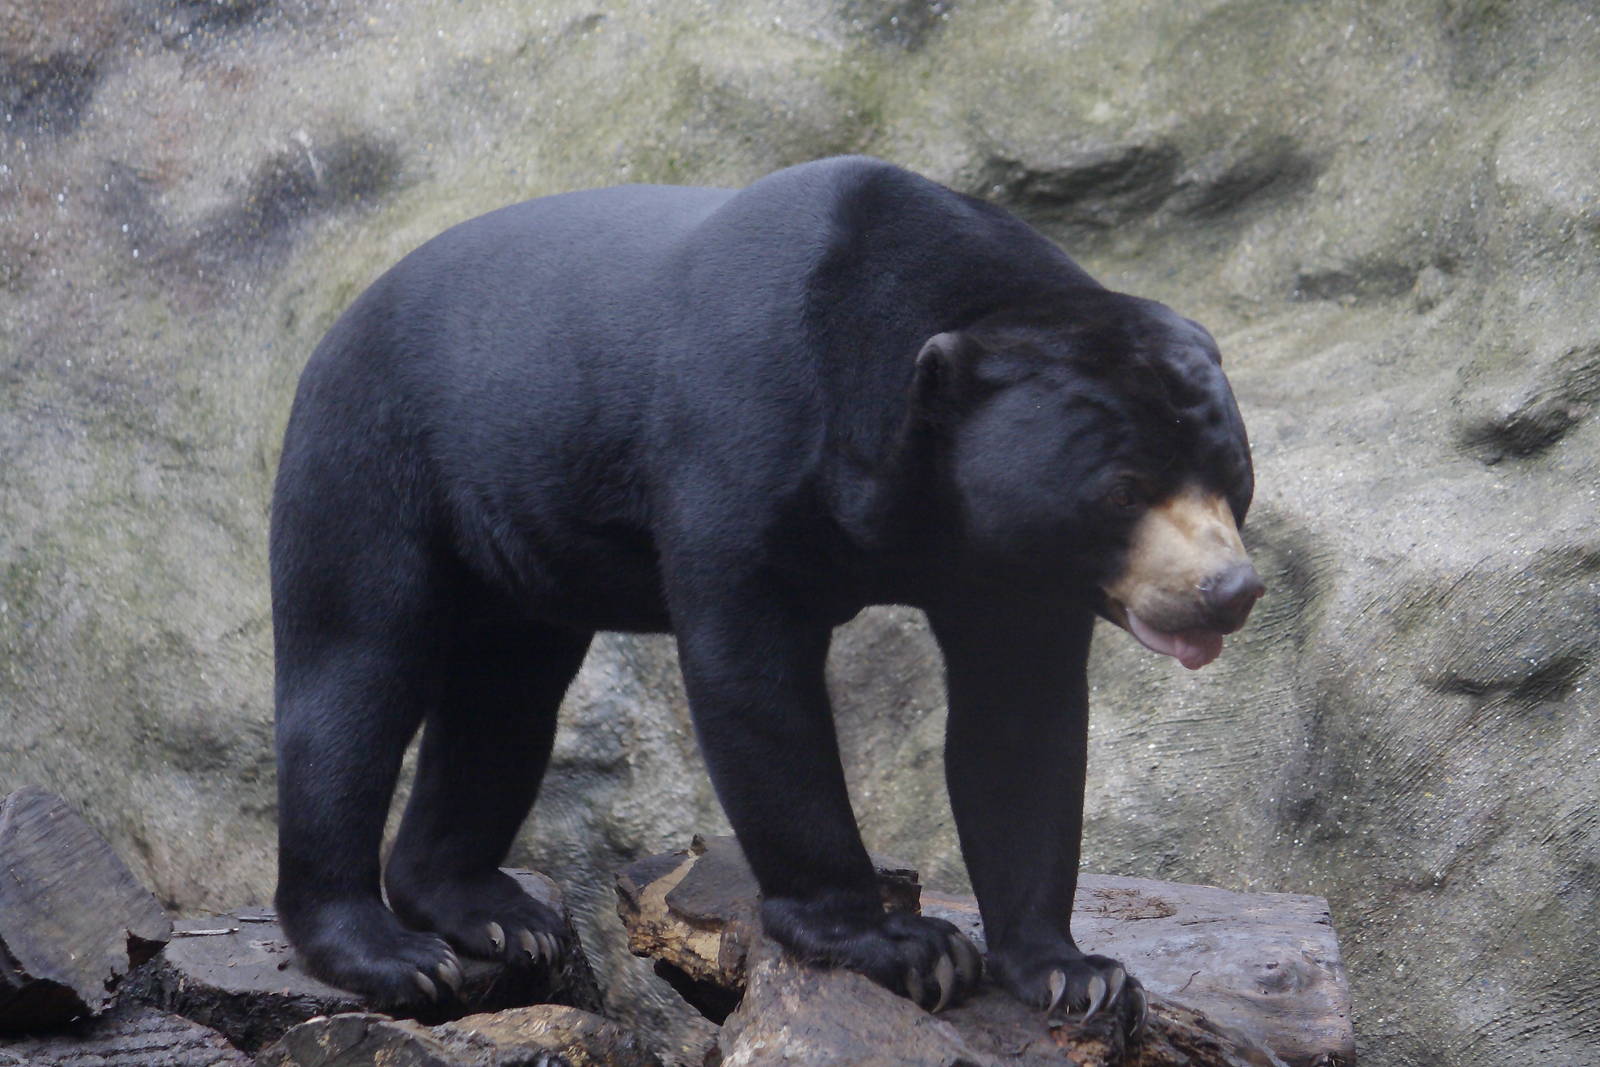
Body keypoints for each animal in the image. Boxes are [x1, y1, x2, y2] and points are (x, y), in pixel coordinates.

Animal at [270, 155, 1262, 1032]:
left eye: (1229, 476)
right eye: (1123, 490)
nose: (1230, 590)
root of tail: (337, 326)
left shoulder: (1010, 567)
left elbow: (1018, 727)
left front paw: (1076, 973)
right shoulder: (744, 433)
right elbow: (756, 680)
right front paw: (901, 944)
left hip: (513, 553)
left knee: (503, 703)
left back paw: (491, 912)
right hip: (374, 459)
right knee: (353, 679)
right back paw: (393, 951)